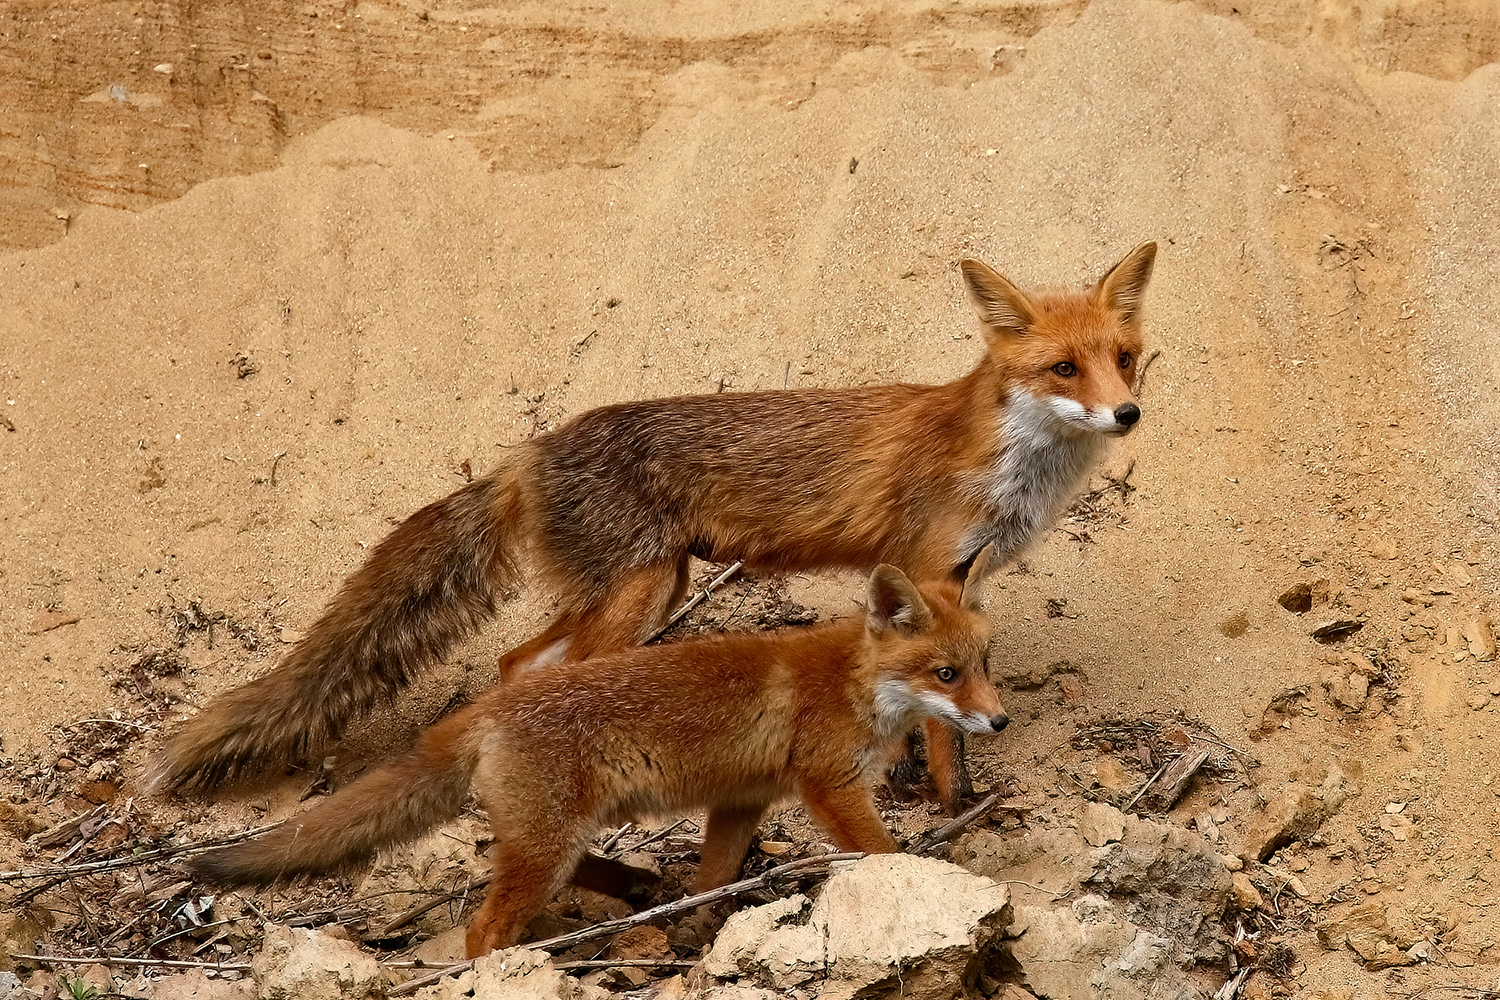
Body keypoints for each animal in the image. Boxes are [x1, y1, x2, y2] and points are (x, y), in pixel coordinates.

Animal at [149, 242, 1156, 809]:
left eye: (1126, 357)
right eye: (1063, 368)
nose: (1128, 414)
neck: (1011, 466)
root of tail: (527, 451)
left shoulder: (957, 584)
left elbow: (923, 713)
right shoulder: (929, 570)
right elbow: (944, 726)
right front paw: (950, 808)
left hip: (648, 585)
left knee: (518, 665)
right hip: (638, 593)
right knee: (547, 676)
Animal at [188, 560, 1006, 957]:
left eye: (983, 665)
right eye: (946, 674)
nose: (998, 719)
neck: (851, 681)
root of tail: (485, 707)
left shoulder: (741, 799)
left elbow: (714, 876)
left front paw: (695, 929)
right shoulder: (828, 786)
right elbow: (883, 852)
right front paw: (937, 884)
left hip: (558, 831)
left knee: (530, 859)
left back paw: (634, 886)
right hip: (549, 841)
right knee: (485, 930)